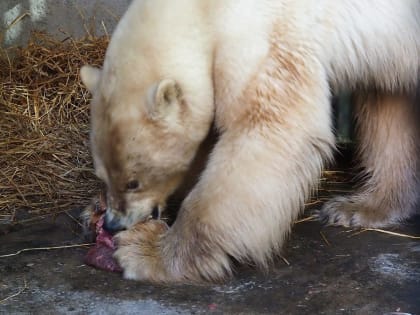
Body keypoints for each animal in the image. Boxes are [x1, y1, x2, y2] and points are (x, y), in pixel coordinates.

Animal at [81, 0, 420, 282]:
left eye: (133, 182)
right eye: (103, 175)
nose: (112, 224)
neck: (202, 9)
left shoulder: (261, 36)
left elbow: (269, 130)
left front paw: (148, 251)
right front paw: (94, 208)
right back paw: (362, 206)